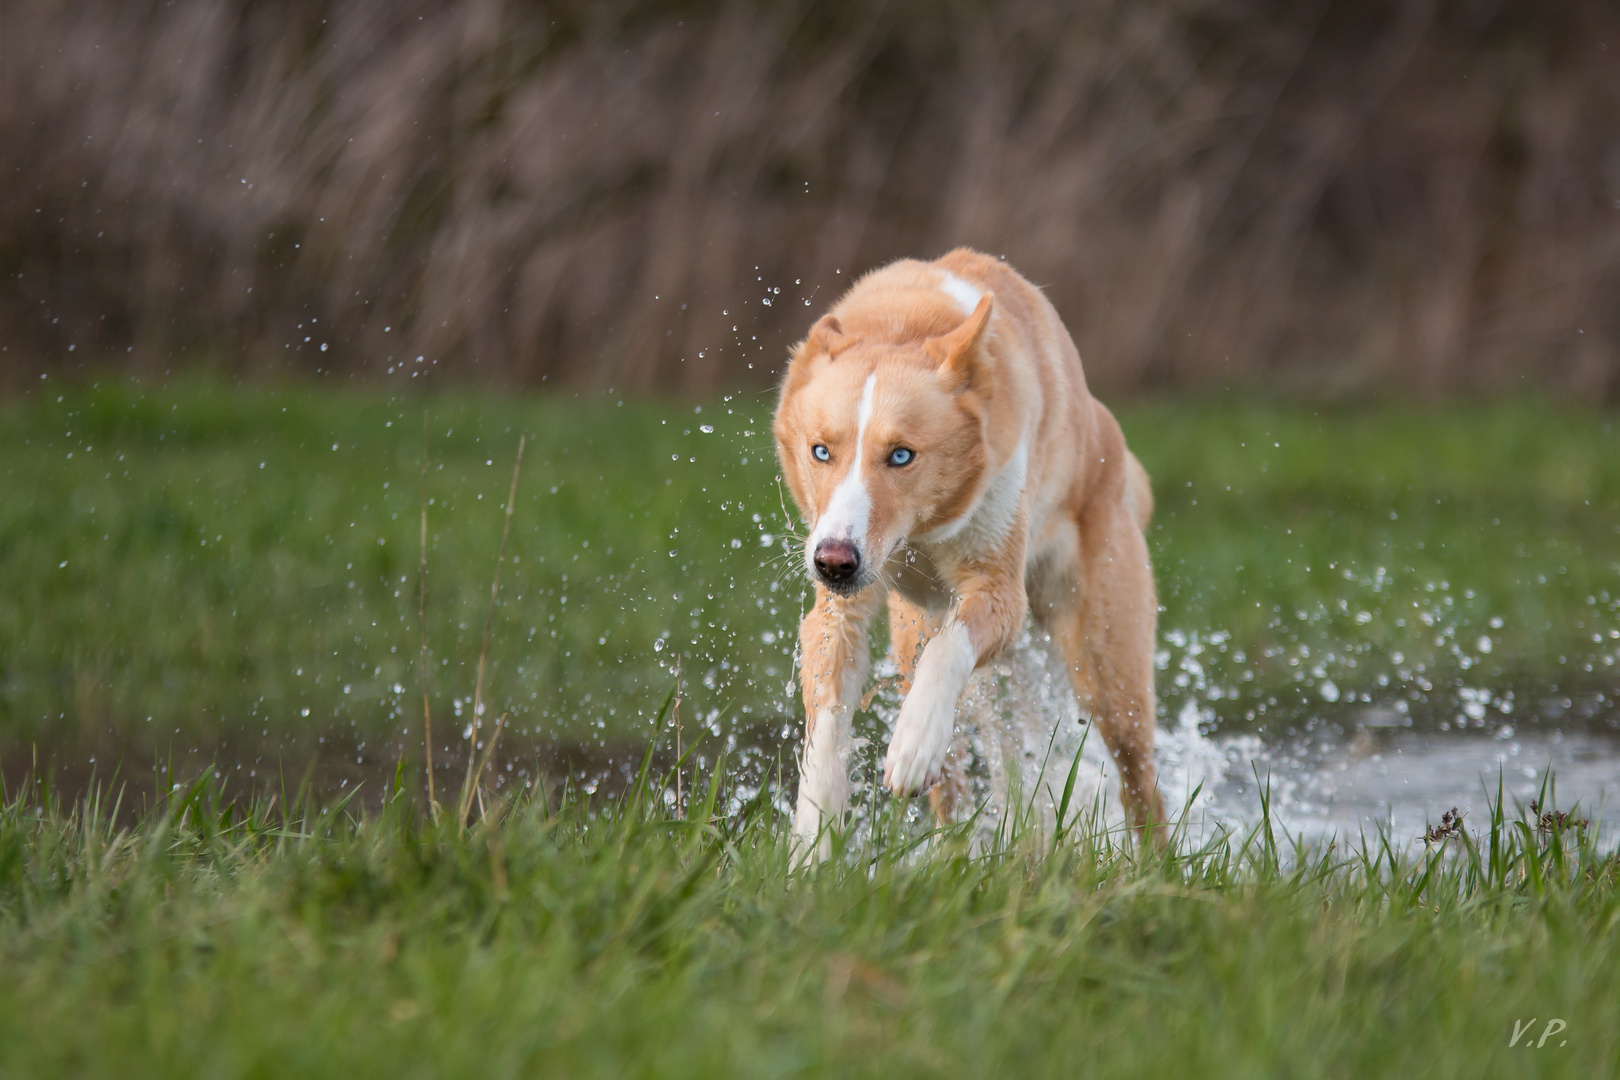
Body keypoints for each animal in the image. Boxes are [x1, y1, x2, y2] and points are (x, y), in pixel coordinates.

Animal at [771, 247, 1166, 861]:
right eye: (820, 451)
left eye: (901, 455)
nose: (834, 562)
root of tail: (1112, 443)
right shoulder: (839, 607)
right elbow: (828, 721)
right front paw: (814, 839)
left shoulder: (999, 593)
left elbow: (951, 648)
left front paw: (912, 744)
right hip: (909, 638)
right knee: (956, 779)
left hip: (1107, 670)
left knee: (1140, 781)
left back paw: (1155, 867)